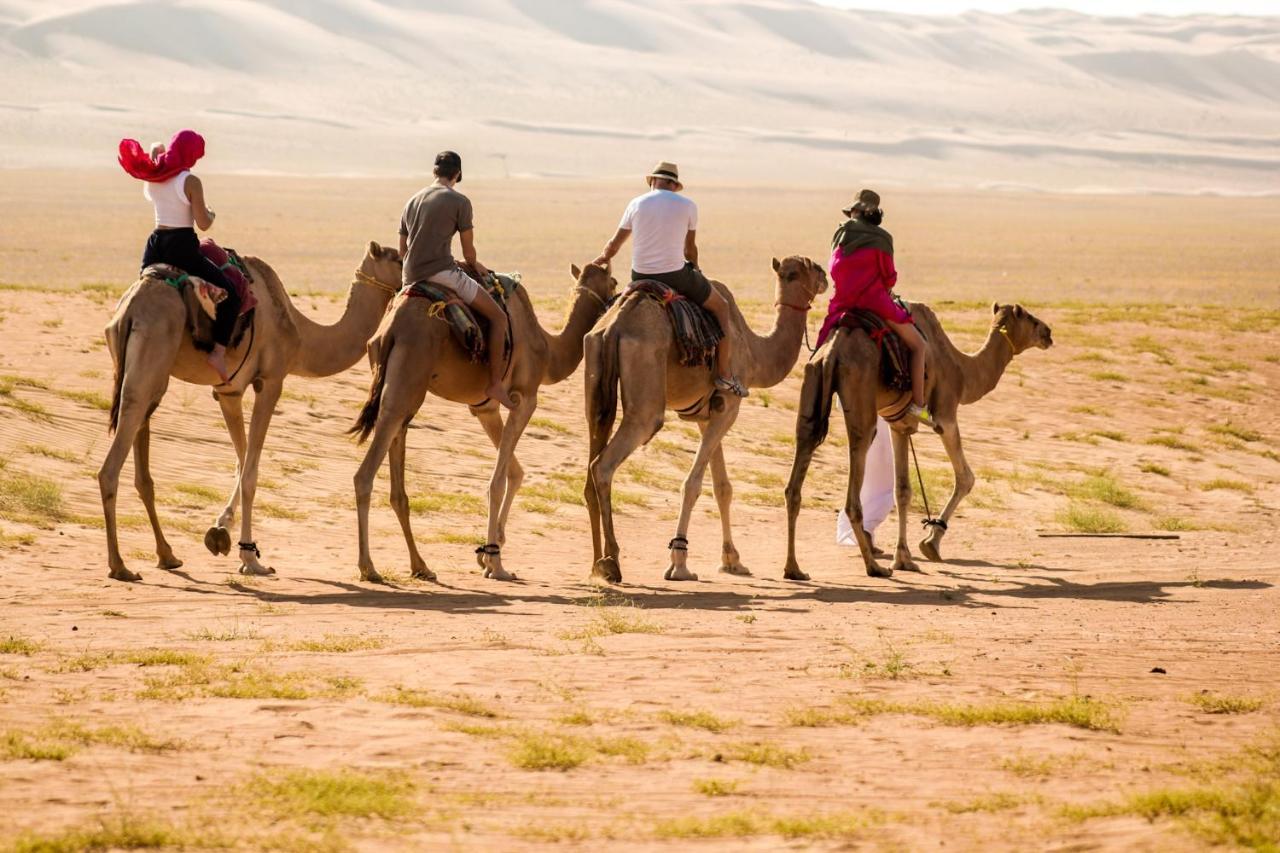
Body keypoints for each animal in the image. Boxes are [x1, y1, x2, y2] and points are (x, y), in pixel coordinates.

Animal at [99, 242, 399, 581]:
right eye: (398, 257)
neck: (299, 333)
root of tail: (129, 311)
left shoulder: (228, 391)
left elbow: (242, 461)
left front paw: (221, 531)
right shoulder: (271, 382)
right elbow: (251, 473)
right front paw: (250, 558)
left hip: (146, 373)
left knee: (141, 461)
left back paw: (167, 555)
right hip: (150, 359)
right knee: (113, 461)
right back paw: (120, 565)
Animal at [345, 258, 614, 581]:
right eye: (614, 282)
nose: (616, 301)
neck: (548, 349)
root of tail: (390, 328)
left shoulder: (485, 409)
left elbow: (515, 472)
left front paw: (487, 553)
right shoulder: (525, 399)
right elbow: (497, 481)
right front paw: (496, 565)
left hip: (399, 383)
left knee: (397, 472)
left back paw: (420, 565)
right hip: (408, 378)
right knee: (365, 472)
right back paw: (368, 567)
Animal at [583, 256, 824, 581]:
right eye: (810, 268)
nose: (826, 277)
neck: (754, 352)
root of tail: (614, 327)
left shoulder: (706, 415)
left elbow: (723, 487)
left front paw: (732, 560)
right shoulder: (729, 407)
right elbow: (693, 483)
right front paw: (679, 563)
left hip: (595, 383)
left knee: (591, 459)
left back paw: (596, 564)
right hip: (645, 401)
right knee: (605, 463)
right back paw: (612, 562)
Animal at [778, 298, 1049, 578]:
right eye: (1031, 319)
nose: (1048, 333)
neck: (961, 369)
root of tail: (832, 352)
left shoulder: (899, 425)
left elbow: (903, 490)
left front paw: (903, 559)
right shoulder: (945, 414)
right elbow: (965, 478)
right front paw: (931, 543)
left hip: (811, 381)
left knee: (796, 476)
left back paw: (794, 568)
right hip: (861, 397)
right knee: (855, 474)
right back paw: (873, 567)